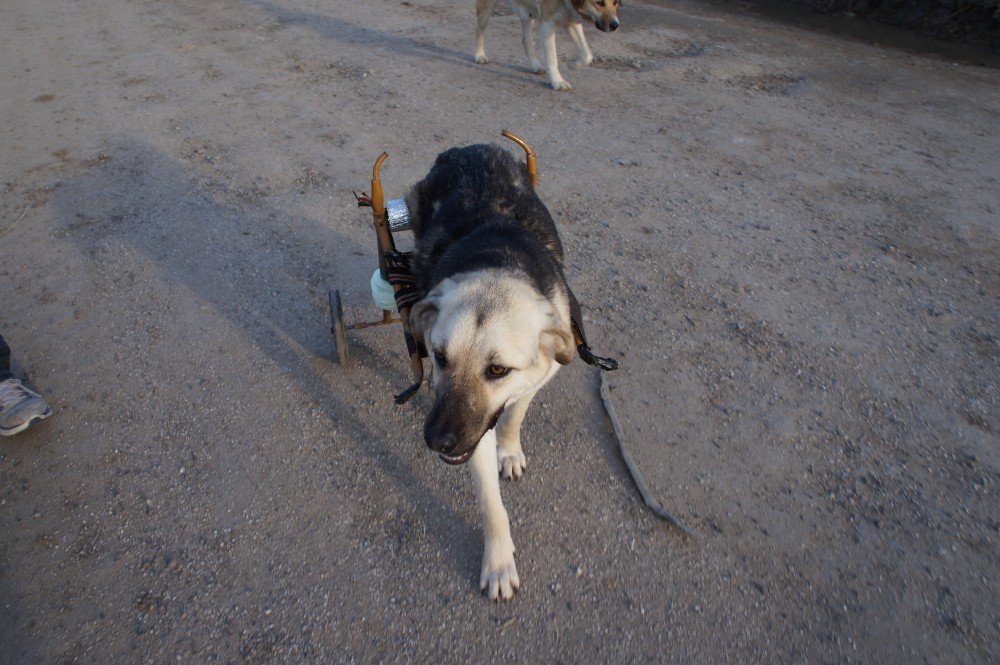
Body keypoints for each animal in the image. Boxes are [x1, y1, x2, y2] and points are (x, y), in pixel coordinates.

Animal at [472, 0, 620, 91]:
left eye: (615, 2)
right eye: (600, 2)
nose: (615, 25)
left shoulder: (571, 22)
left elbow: (586, 54)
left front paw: (574, 64)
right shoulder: (547, 24)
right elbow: (551, 58)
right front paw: (557, 81)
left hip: (527, 14)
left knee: (526, 41)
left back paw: (535, 65)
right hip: (487, 7)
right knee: (479, 31)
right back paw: (479, 55)